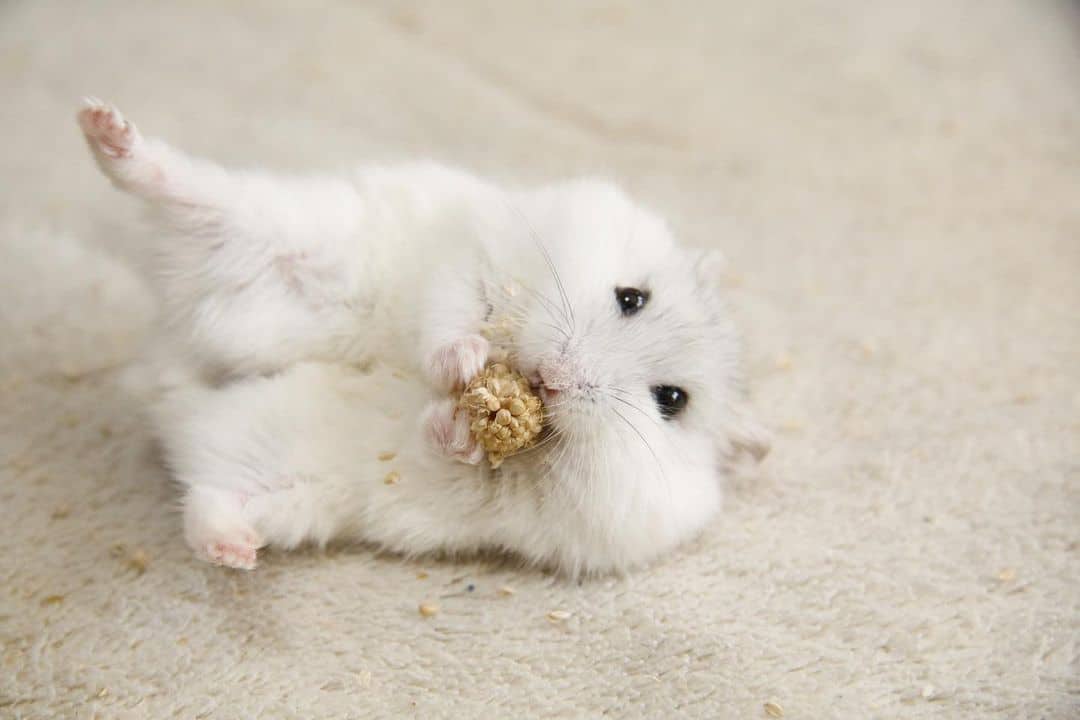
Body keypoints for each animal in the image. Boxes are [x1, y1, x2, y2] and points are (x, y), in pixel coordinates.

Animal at [78, 98, 770, 576]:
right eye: (632, 298)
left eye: (671, 402)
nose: (550, 379)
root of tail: (167, 377)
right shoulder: (474, 255)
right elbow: (450, 317)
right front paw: (464, 366)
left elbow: (455, 454)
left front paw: (461, 425)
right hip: (272, 237)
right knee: (175, 187)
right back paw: (104, 127)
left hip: (278, 483)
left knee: (205, 501)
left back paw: (235, 551)